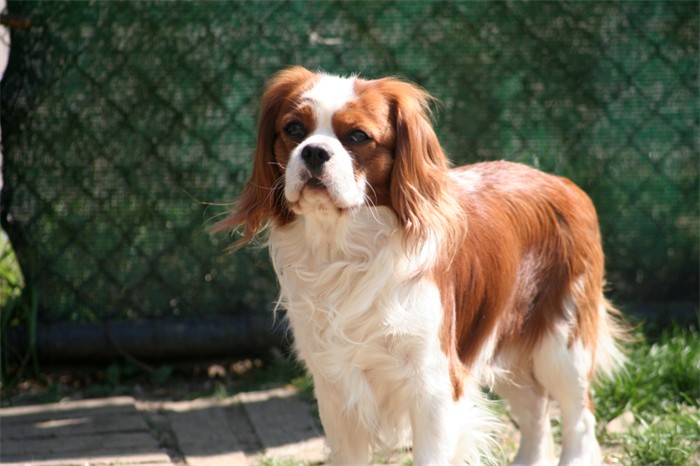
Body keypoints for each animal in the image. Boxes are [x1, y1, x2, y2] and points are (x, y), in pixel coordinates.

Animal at [216, 67, 628, 464]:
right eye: (293, 130)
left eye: (358, 136)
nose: (314, 151)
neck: (346, 252)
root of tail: (565, 184)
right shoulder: (336, 391)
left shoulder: (434, 387)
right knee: (536, 411)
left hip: (562, 343)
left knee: (579, 416)